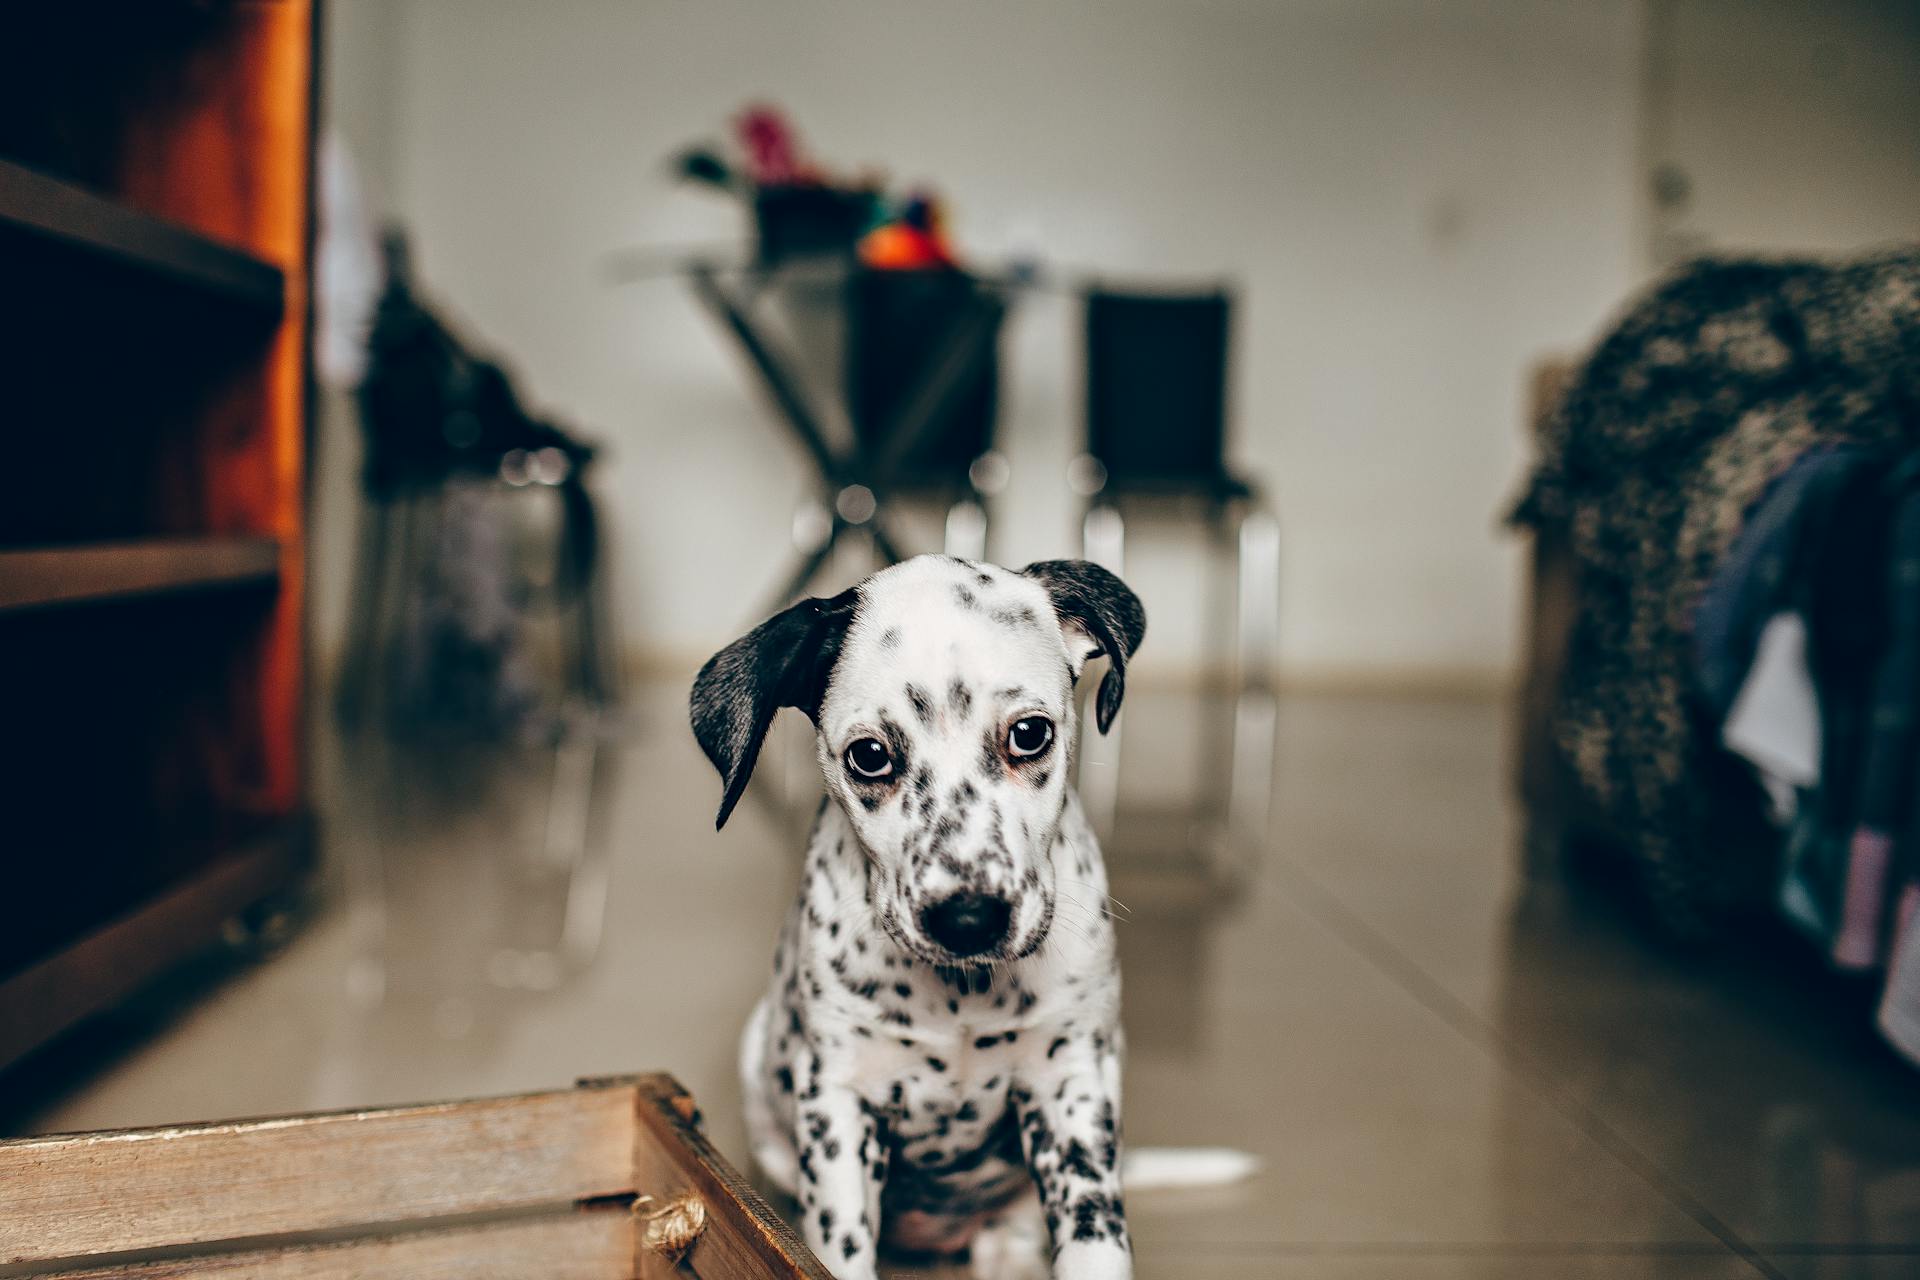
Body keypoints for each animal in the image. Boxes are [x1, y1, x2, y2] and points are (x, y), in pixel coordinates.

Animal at [691, 552, 1136, 1280]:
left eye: (1030, 734)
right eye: (869, 755)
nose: (969, 919)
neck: (963, 997)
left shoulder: (1071, 1083)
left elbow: (1095, 1234)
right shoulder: (840, 1103)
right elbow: (837, 1249)